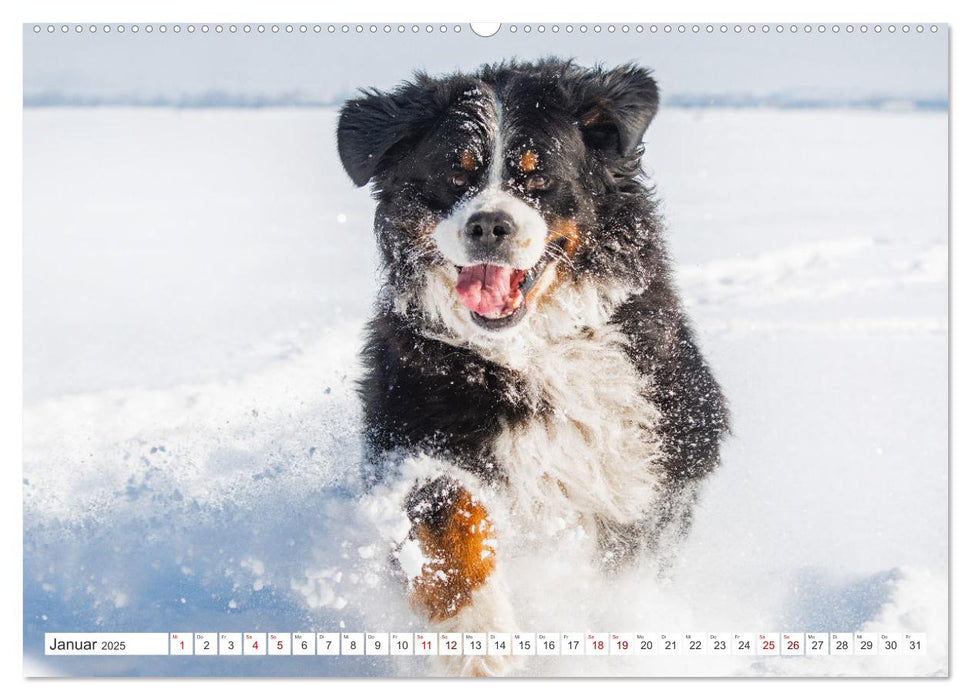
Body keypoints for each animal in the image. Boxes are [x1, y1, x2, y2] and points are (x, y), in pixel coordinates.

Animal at [338, 58, 724, 672]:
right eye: (456, 176)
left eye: (538, 177)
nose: (488, 226)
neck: (533, 349)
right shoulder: (412, 429)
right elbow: (450, 518)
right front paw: (479, 637)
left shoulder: (653, 464)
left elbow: (619, 577)